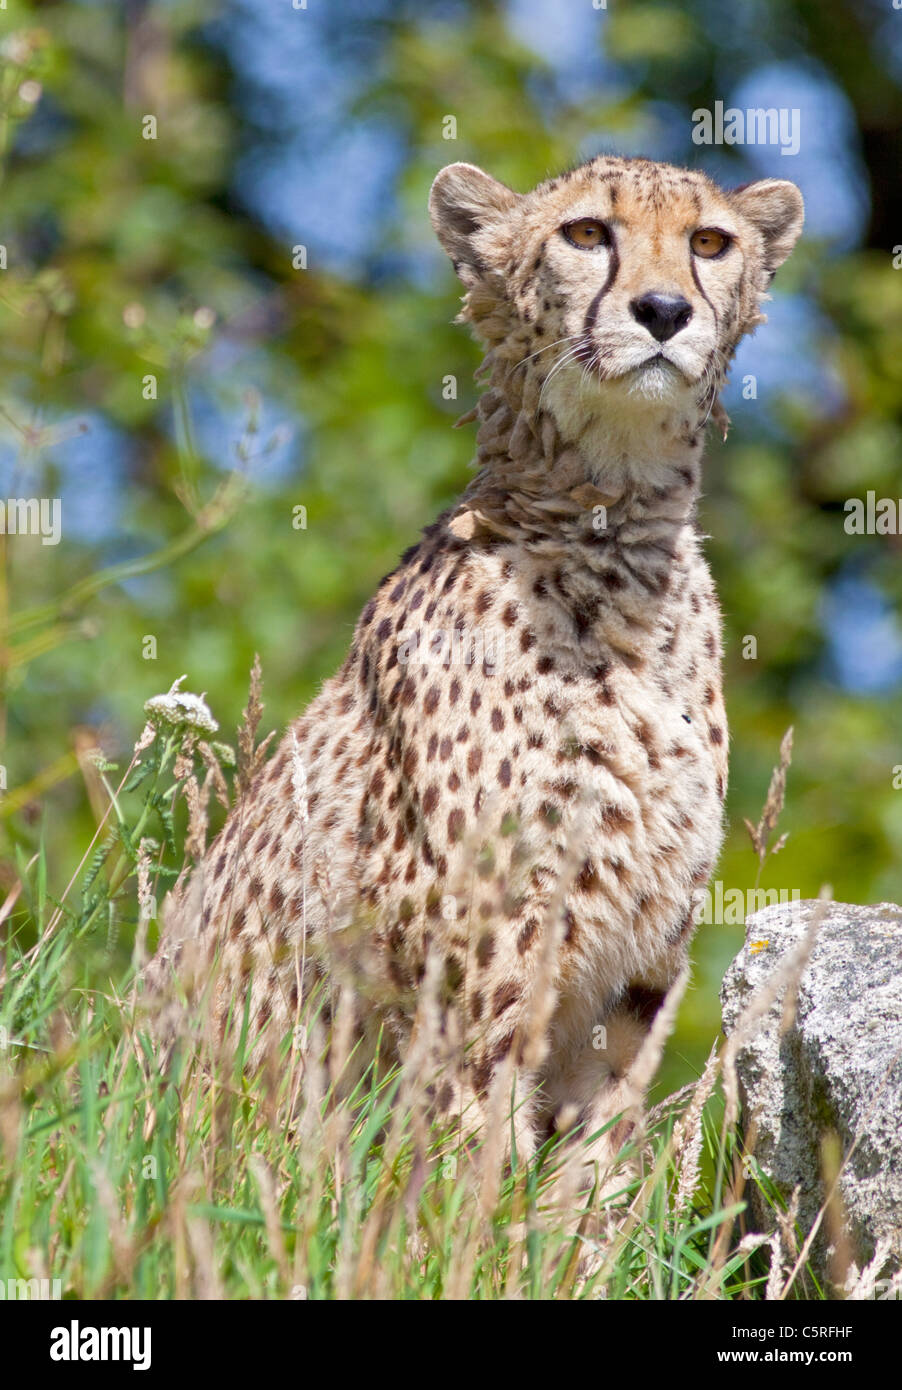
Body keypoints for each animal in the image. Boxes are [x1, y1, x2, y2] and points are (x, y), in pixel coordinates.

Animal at [144, 149, 806, 1173]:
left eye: (709, 242)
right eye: (587, 233)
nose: (663, 311)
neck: (614, 528)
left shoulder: (639, 962)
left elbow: (595, 1157)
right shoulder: (476, 940)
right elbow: (474, 1136)